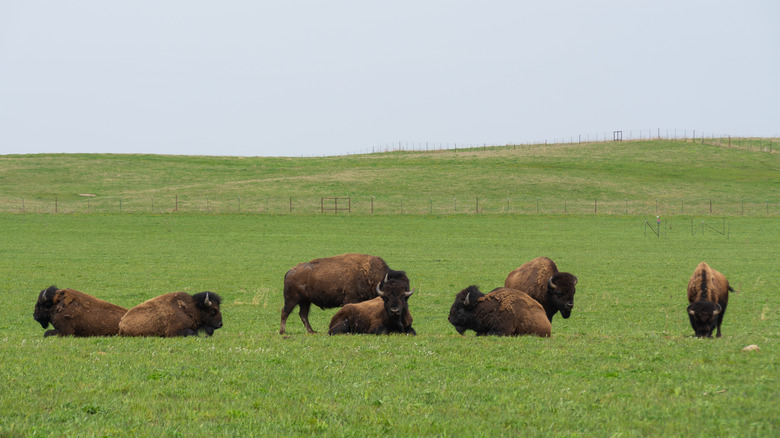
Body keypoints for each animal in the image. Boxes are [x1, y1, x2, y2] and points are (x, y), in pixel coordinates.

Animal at [280, 253, 409, 334]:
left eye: (405, 293)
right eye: (388, 293)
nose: (397, 310)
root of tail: (289, 272)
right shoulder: (351, 300)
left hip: (305, 301)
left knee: (303, 314)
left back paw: (312, 331)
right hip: (292, 299)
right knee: (285, 312)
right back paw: (282, 332)